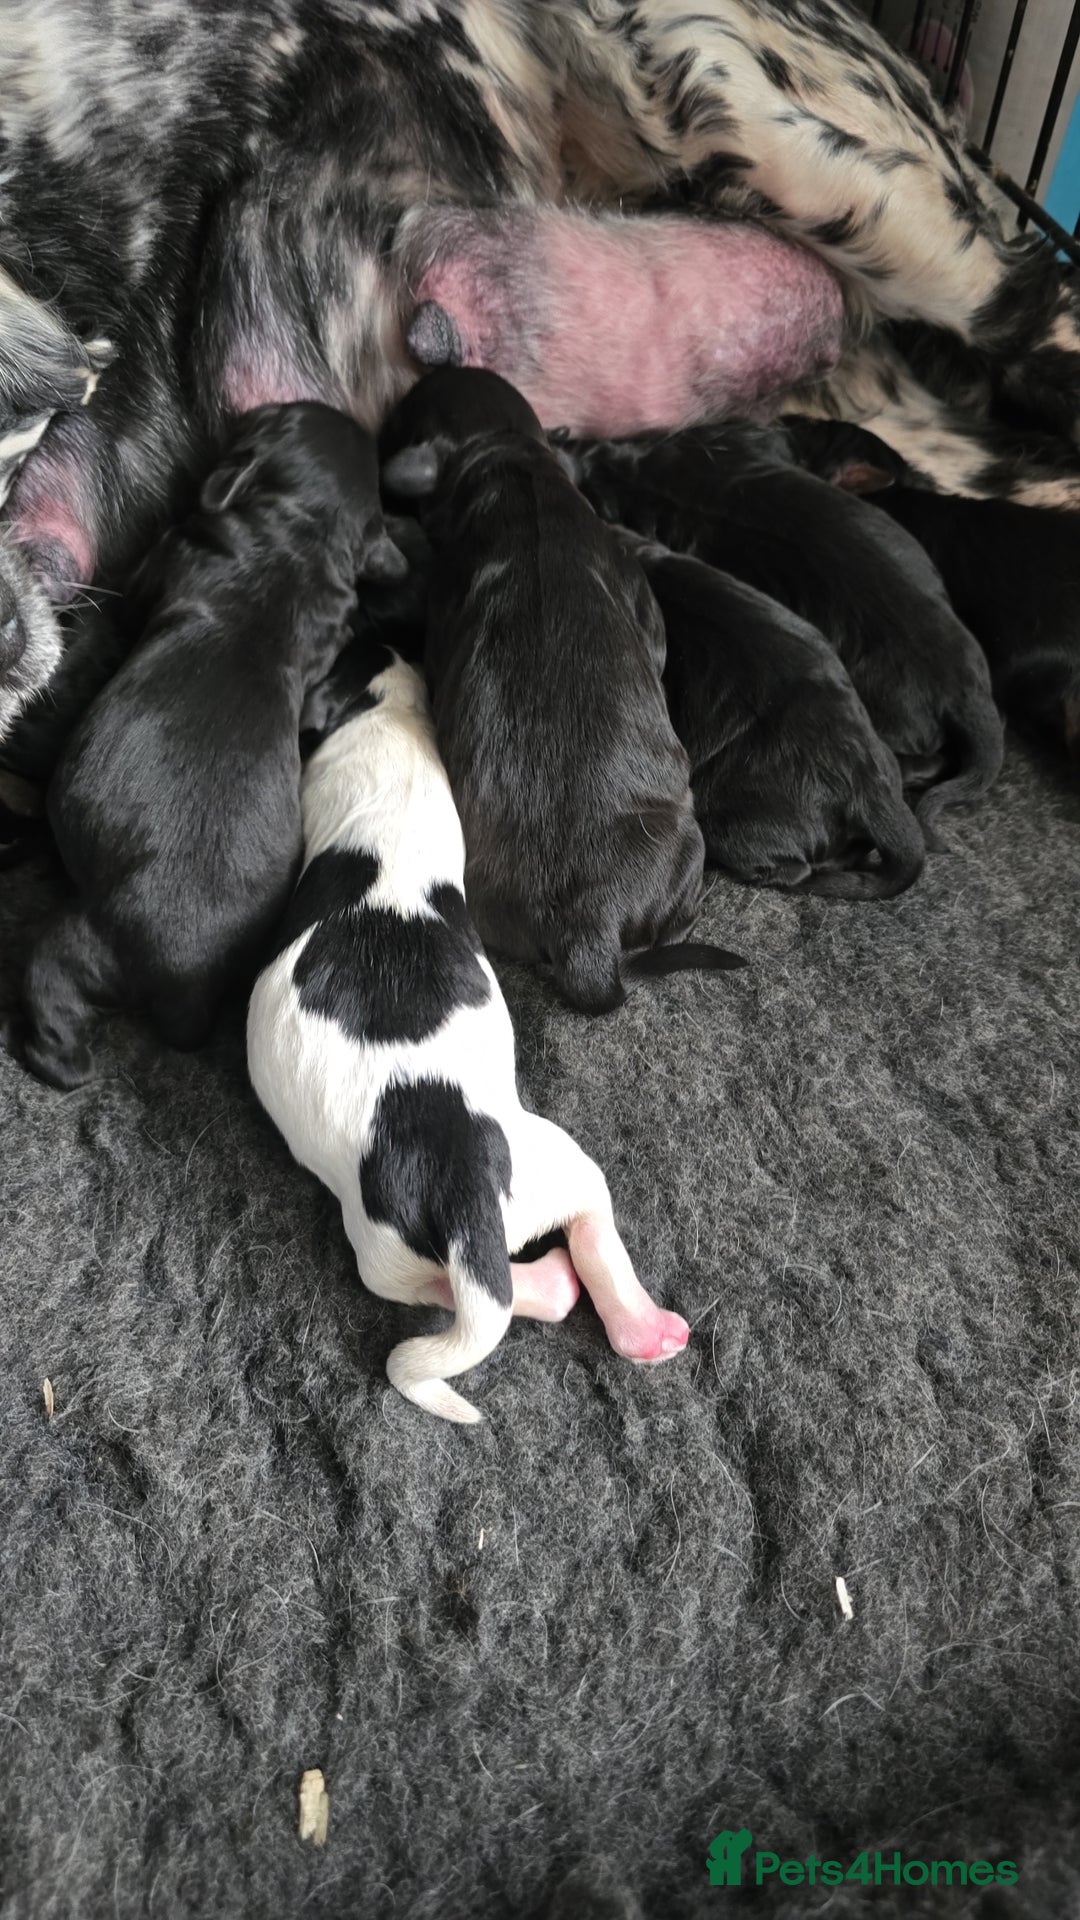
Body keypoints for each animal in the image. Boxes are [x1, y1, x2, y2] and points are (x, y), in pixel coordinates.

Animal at [15, 402, 407, 1088]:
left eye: (279, 415)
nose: (259, 405)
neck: (301, 536)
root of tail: (184, 986)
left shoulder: (167, 556)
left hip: (89, 941)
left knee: (51, 980)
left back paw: (57, 1059)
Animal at [248, 641, 692, 1423]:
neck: (382, 719)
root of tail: (458, 1189)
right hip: (555, 1163)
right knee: (589, 1227)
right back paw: (640, 1324)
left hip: (385, 1249)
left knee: (468, 1293)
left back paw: (560, 1291)